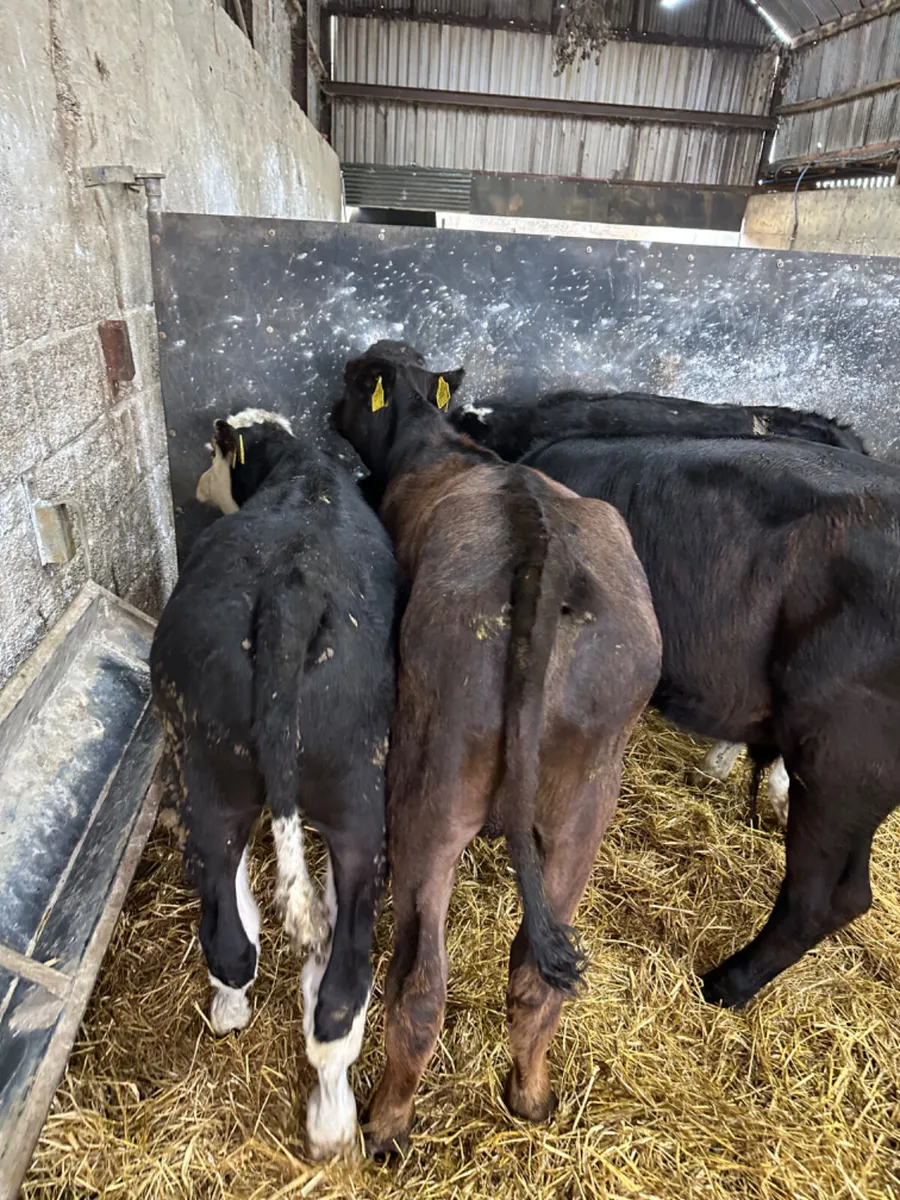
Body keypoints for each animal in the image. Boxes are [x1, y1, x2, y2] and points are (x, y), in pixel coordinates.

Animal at [150, 409, 398, 1160]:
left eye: (213, 453)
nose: (199, 486)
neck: (299, 467)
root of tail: (293, 594)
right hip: (352, 800)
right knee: (332, 989)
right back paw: (332, 1120)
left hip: (210, 773)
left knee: (234, 939)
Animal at [331, 342, 662, 1156]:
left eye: (353, 379)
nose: (327, 408)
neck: (438, 445)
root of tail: (540, 550)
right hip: (586, 803)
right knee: (536, 977)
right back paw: (531, 1096)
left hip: (430, 787)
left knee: (421, 983)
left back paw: (386, 1123)